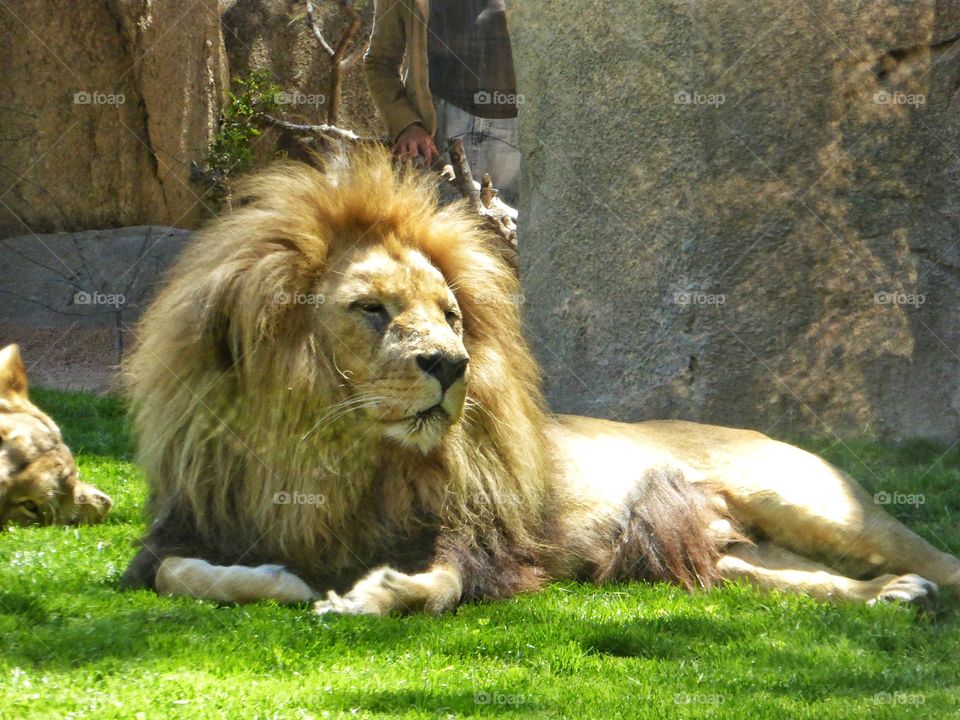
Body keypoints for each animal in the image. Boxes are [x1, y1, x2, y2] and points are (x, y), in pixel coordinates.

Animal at [120, 146, 960, 612]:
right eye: (370, 310)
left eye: (452, 316)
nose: (450, 366)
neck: (336, 452)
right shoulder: (188, 524)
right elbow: (179, 576)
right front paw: (283, 581)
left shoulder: (474, 532)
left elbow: (444, 584)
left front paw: (369, 596)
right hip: (733, 560)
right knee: (812, 581)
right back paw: (894, 598)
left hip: (814, 504)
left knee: (940, 560)